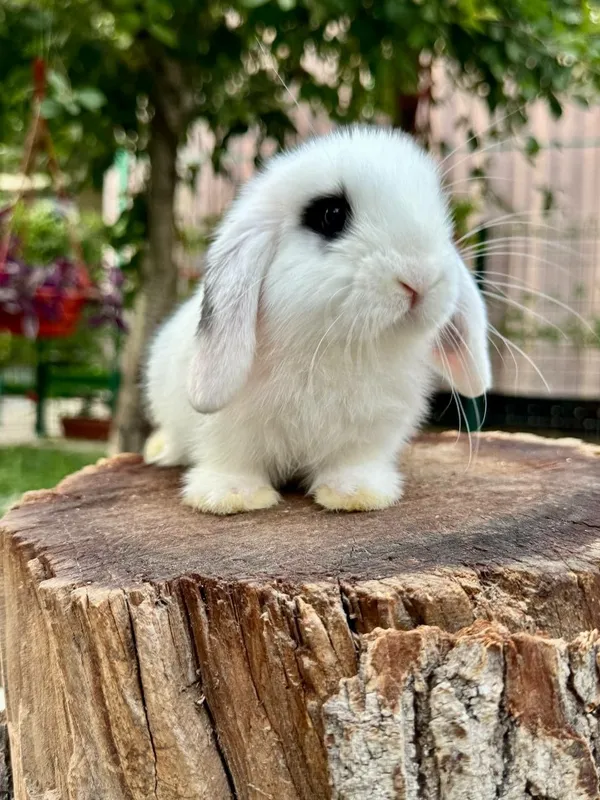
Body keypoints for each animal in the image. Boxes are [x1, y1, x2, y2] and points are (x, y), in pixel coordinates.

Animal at [144, 125, 491, 515]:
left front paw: (356, 494)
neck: (337, 348)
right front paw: (232, 496)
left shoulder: (367, 436)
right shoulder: (226, 432)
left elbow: (352, 464)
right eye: (331, 215)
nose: (420, 279)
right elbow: (232, 461)